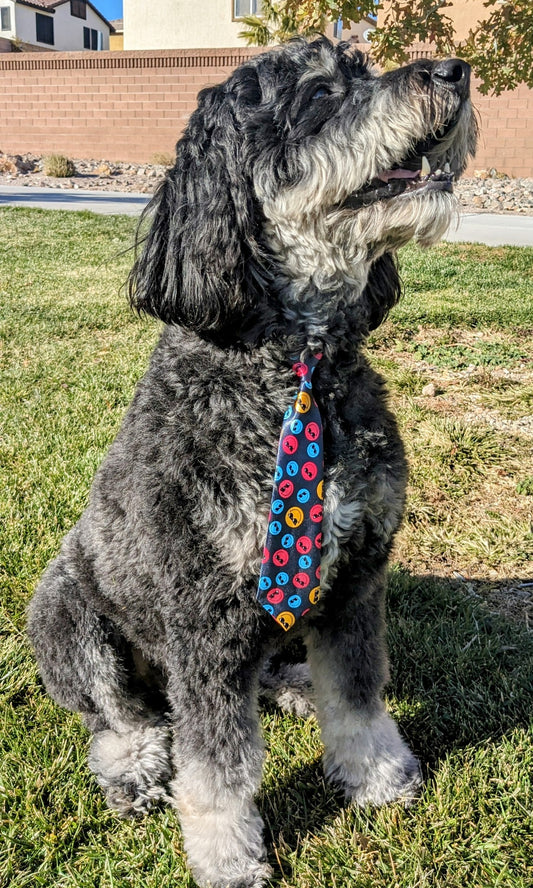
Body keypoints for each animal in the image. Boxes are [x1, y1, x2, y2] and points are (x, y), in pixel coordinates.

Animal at [27, 36, 476, 888]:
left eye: (364, 68)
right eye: (321, 92)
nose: (452, 71)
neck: (293, 366)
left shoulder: (357, 572)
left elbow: (357, 694)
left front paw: (376, 775)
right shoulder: (201, 614)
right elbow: (217, 764)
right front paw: (227, 855)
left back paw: (293, 685)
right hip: (73, 620)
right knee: (122, 718)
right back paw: (134, 769)